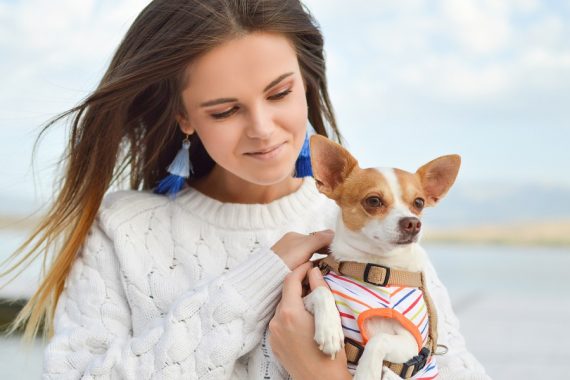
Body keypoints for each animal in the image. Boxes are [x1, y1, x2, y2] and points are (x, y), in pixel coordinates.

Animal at [302, 135, 458, 378]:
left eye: (419, 203)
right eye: (374, 201)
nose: (413, 223)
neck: (378, 268)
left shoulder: (412, 343)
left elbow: (379, 340)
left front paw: (366, 372)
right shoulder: (303, 300)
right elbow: (321, 292)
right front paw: (329, 329)